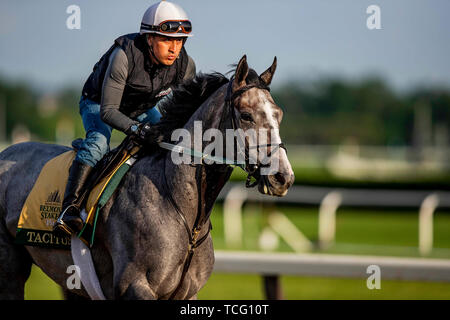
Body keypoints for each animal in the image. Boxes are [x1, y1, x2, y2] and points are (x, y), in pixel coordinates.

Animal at [0, 55, 294, 300]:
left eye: (279, 115)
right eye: (245, 115)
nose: (283, 177)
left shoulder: (187, 293)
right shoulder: (135, 286)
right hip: (11, 269)